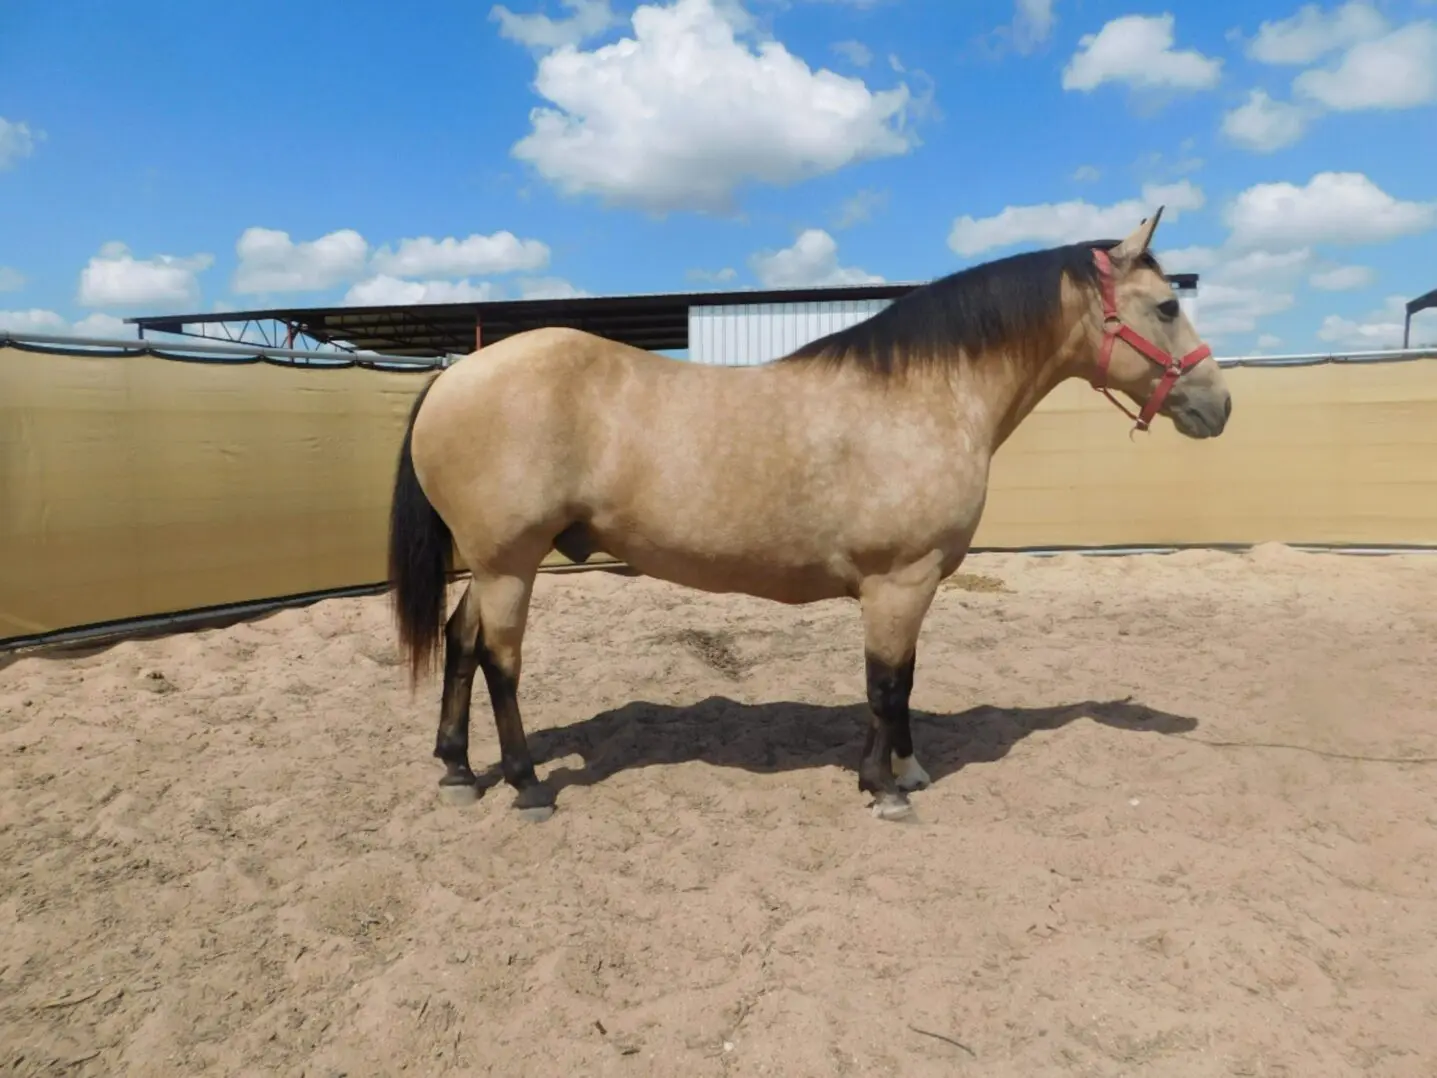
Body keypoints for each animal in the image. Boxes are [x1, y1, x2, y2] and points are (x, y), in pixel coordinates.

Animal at [385, 208, 1230, 823]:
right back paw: (526, 784)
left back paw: (457, 769)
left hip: (494, 562)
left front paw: (903, 771)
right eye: (1165, 306)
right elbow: (885, 683)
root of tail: (457, 374)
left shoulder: (909, 586)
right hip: (509, 562)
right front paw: (883, 787)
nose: (1217, 405)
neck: (921, 396)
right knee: (499, 661)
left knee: (461, 643)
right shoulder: (898, 580)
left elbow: (900, 679)